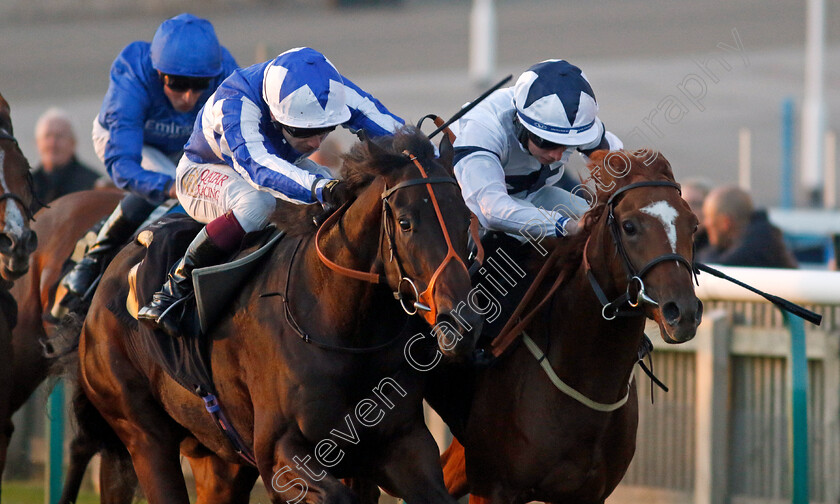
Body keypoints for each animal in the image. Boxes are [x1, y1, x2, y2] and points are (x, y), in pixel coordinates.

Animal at [79, 128, 486, 504]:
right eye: (405, 222)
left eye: (464, 219)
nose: (462, 322)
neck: (340, 326)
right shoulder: (278, 452)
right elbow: (336, 495)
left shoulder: (403, 441)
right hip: (144, 436)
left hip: (219, 459)